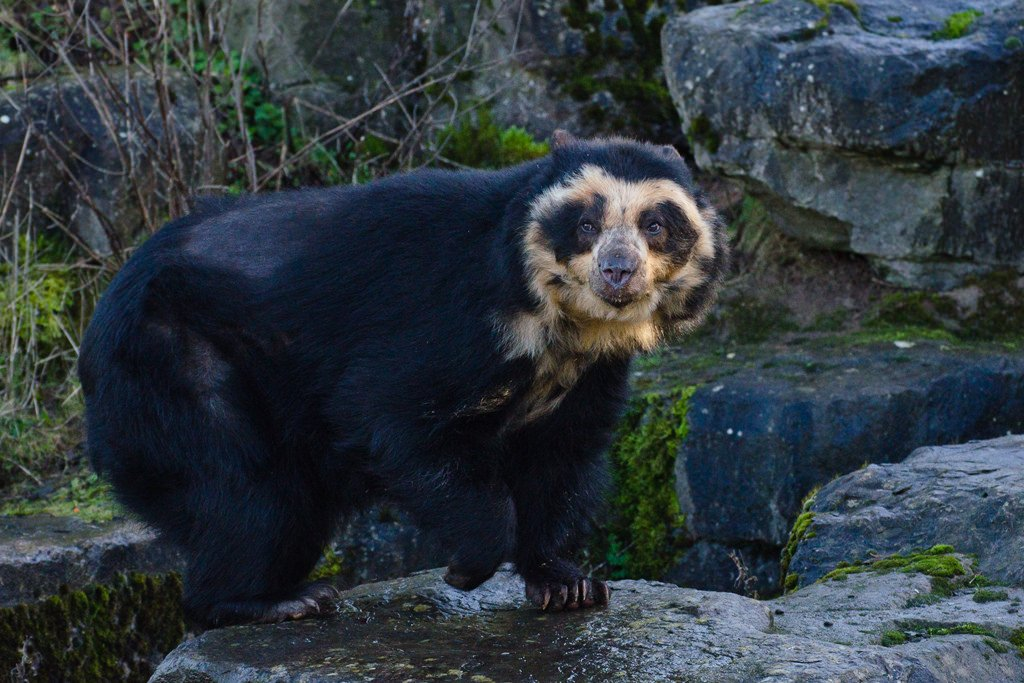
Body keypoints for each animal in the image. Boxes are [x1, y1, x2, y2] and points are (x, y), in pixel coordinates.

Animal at [77, 131, 729, 626]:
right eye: (587, 224)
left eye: (655, 225)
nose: (618, 273)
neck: (565, 324)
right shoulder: (451, 325)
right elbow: (386, 415)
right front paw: (466, 568)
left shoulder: (590, 374)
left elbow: (560, 457)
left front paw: (566, 583)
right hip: (175, 363)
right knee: (247, 488)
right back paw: (275, 601)